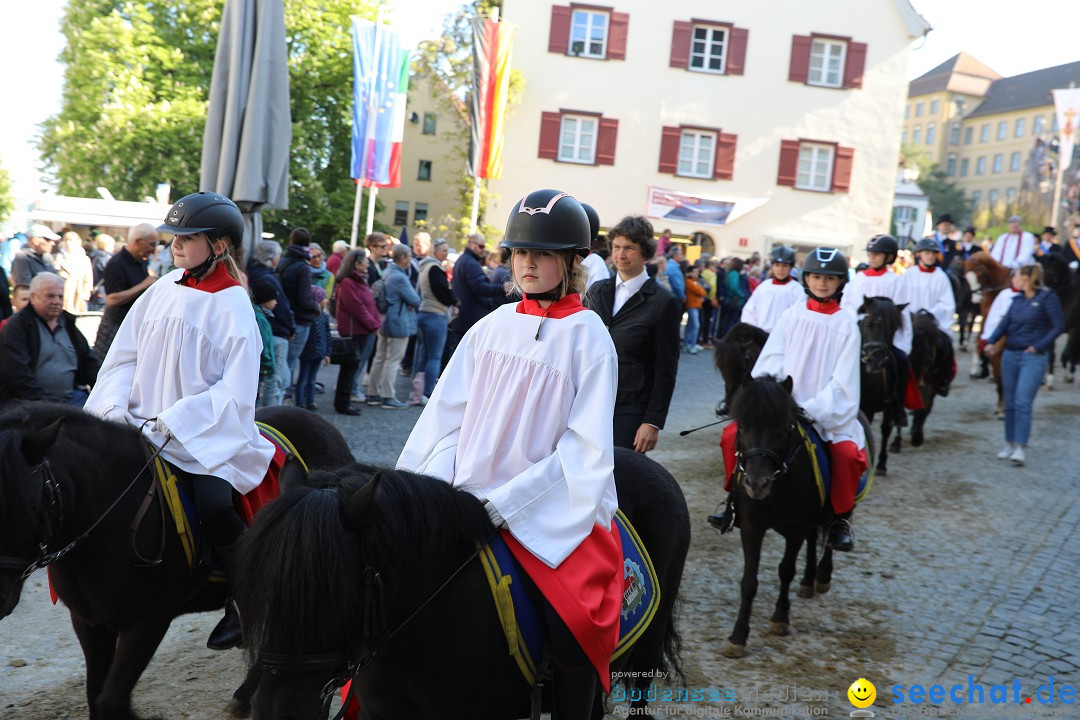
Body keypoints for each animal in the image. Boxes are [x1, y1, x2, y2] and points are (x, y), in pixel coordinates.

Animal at [0, 405, 349, 720]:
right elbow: (96, 698)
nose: (1, 601)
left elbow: (111, 701)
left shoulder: (148, 622)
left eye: (31, 506)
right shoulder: (89, 623)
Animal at [717, 377, 868, 660]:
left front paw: (780, 618)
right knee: (814, 538)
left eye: (784, 427)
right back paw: (808, 581)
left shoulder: (795, 529)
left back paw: (822, 575)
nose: (757, 483)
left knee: (830, 534)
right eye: (741, 425)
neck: (777, 488)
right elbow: (749, 581)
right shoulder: (752, 527)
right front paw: (738, 637)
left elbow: (785, 570)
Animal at [911, 313, 954, 446]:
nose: (919, 385)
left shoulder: (929, 387)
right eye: (909, 355)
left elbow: (923, 410)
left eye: (927, 359)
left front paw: (917, 437)